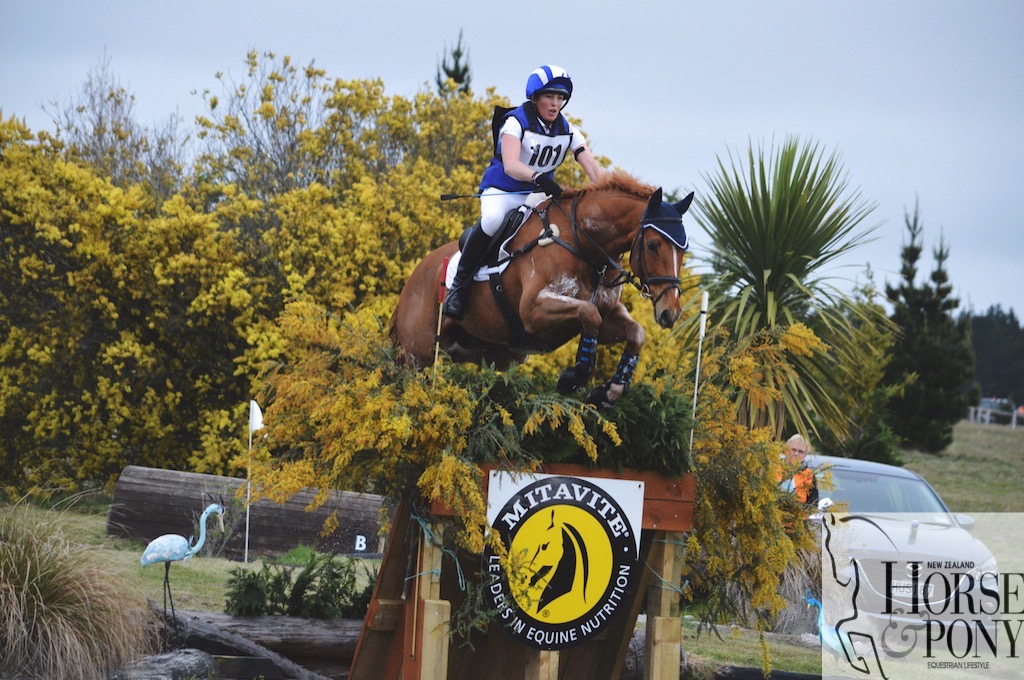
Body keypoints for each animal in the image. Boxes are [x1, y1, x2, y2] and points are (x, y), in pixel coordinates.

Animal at [387, 174, 692, 409]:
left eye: (683, 250)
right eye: (652, 245)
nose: (671, 312)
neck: (583, 244)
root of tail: (412, 280)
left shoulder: (605, 320)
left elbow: (634, 332)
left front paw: (611, 391)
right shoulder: (535, 312)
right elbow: (589, 313)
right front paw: (573, 378)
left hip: (483, 352)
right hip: (417, 356)